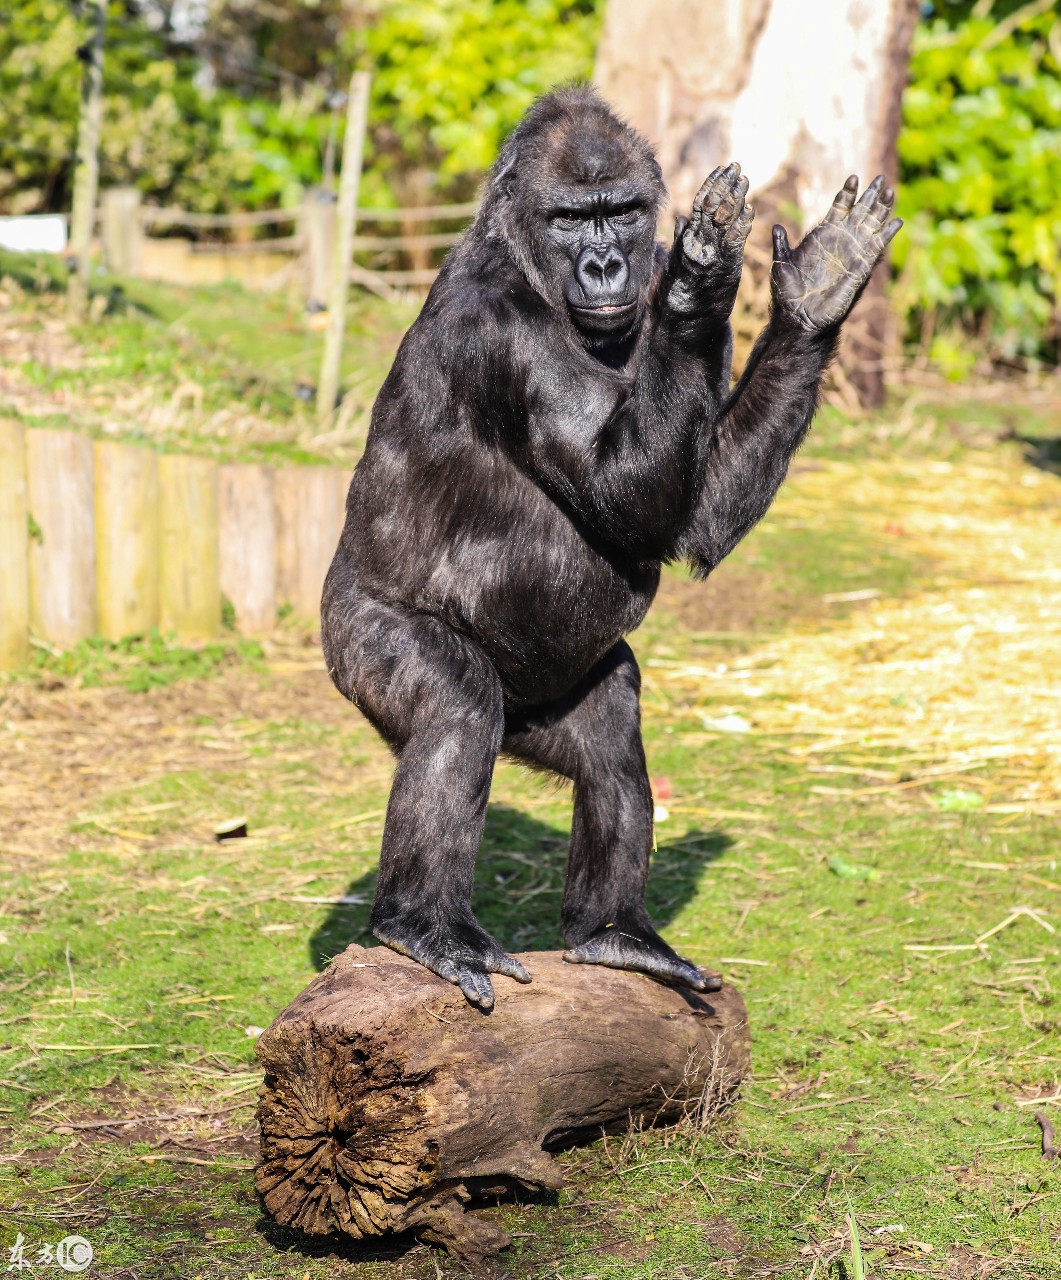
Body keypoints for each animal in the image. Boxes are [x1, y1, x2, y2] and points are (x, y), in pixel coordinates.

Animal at [318, 87, 895, 1008]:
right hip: (355, 648)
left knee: (613, 734)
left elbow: (691, 519)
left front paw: (815, 291)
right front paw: (700, 282)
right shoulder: (497, 331)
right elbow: (622, 492)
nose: (602, 266)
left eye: (618, 212)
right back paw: (422, 924)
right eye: (569, 218)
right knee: (455, 709)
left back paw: (613, 933)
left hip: (543, 714)